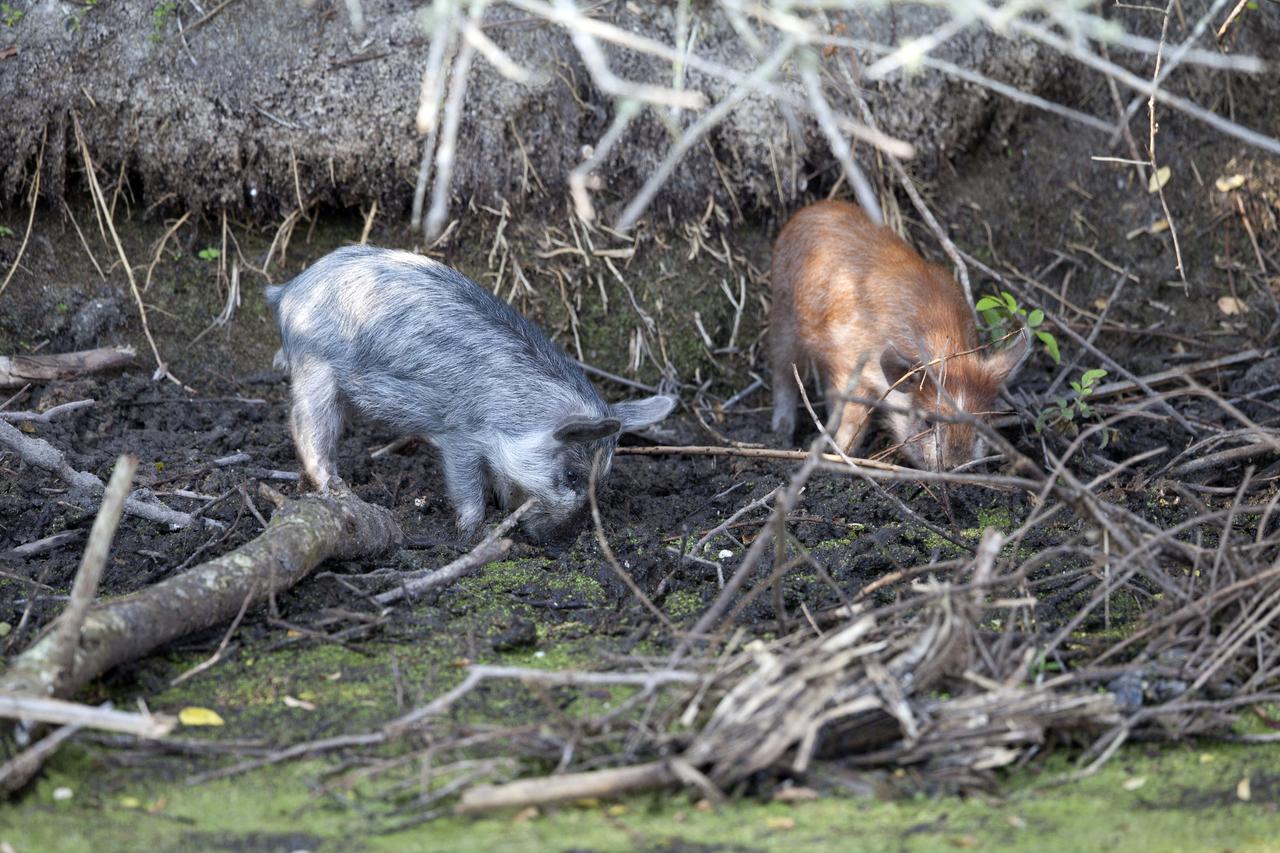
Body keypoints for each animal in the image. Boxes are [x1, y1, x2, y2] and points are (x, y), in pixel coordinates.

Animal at [267, 245, 676, 539]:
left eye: (601, 482)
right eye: (573, 476)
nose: (556, 541)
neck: (518, 410)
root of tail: (289, 289)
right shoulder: (459, 433)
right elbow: (466, 485)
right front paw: (472, 532)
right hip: (314, 368)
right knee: (308, 433)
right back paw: (340, 492)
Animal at [768, 200, 1029, 470]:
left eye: (982, 423)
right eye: (928, 422)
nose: (956, 465)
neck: (943, 343)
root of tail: (811, 208)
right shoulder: (852, 362)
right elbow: (853, 416)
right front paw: (842, 453)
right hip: (783, 310)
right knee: (782, 370)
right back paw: (782, 434)